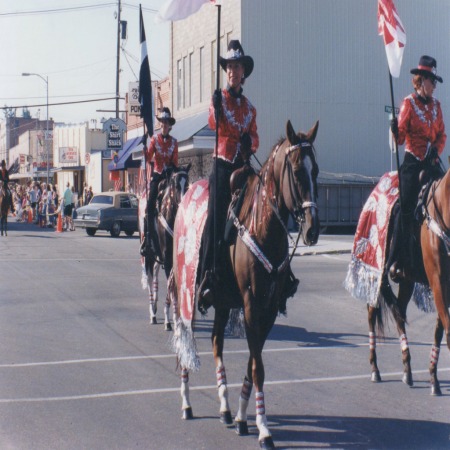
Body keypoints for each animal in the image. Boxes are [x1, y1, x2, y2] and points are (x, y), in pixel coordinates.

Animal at [141, 165, 190, 330]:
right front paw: (171, 319)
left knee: (155, 276)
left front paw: (176, 318)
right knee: (150, 280)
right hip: (148, 256)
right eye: (176, 185)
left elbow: (174, 288)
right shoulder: (168, 261)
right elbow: (171, 289)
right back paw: (152, 312)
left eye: (187, 184)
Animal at [169, 120, 320, 450]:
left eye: (315, 170)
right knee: (184, 334)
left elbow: (253, 362)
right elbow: (258, 367)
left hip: (224, 301)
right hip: (184, 289)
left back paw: (225, 407)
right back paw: (186, 402)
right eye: (296, 171)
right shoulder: (251, 304)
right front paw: (263, 428)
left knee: (216, 342)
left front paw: (241, 416)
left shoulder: (269, 308)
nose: (313, 229)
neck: (262, 225)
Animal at [346, 168, 448, 394]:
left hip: (406, 280)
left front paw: (433, 376)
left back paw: (407, 369)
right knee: (373, 311)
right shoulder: (438, 282)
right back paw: (375, 369)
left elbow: (439, 329)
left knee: (399, 312)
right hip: (377, 273)